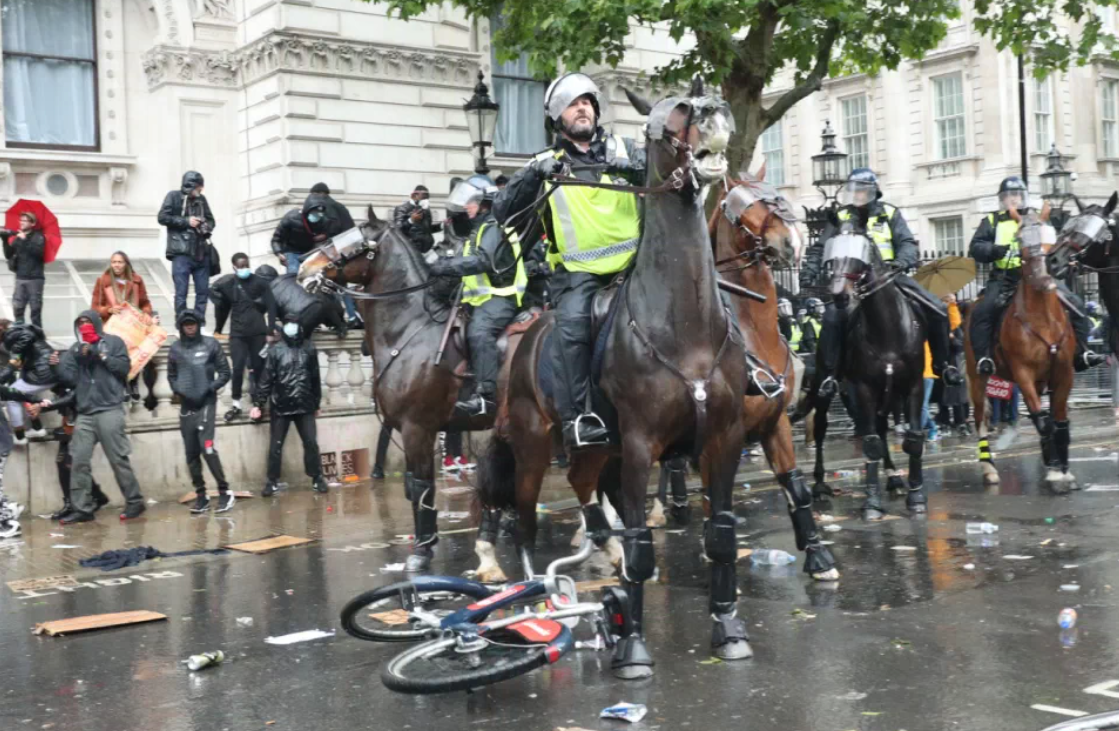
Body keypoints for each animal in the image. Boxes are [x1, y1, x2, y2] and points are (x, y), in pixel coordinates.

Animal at [476, 82, 747, 676]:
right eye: (665, 118)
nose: (715, 113)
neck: (684, 326)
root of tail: (525, 336)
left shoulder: (723, 439)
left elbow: (720, 536)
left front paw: (728, 628)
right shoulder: (643, 445)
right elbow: (643, 545)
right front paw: (634, 647)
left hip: (602, 449)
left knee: (583, 486)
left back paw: (597, 544)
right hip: (534, 446)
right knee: (524, 521)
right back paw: (538, 599)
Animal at [711, 172, 837, 582]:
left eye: (775, 196)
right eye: (743, 205)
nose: (791, 242)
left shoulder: (775, 421)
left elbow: (794, 485)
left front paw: (817, 555)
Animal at [823, 210, 926, 519]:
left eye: (861, 252)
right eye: (831, 255)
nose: (840, 296)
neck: (887, 329)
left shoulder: (914, 385)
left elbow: (914, 439)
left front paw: (917, 497)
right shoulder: (864, 388)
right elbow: (871, 443)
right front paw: (871, 503)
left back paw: (896, 480)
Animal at [962, 202, 1074, 490]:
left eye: (1052, 235)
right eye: (1020, 240)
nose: (1046, 276)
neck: (1043, 319)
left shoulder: (1063, 373)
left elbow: (1059, 423)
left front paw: (1061, 468)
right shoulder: (1023, 373)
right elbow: (1044, 422)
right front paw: (1055, 471)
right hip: (977, 378)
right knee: (980, 420)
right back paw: (988, 469)